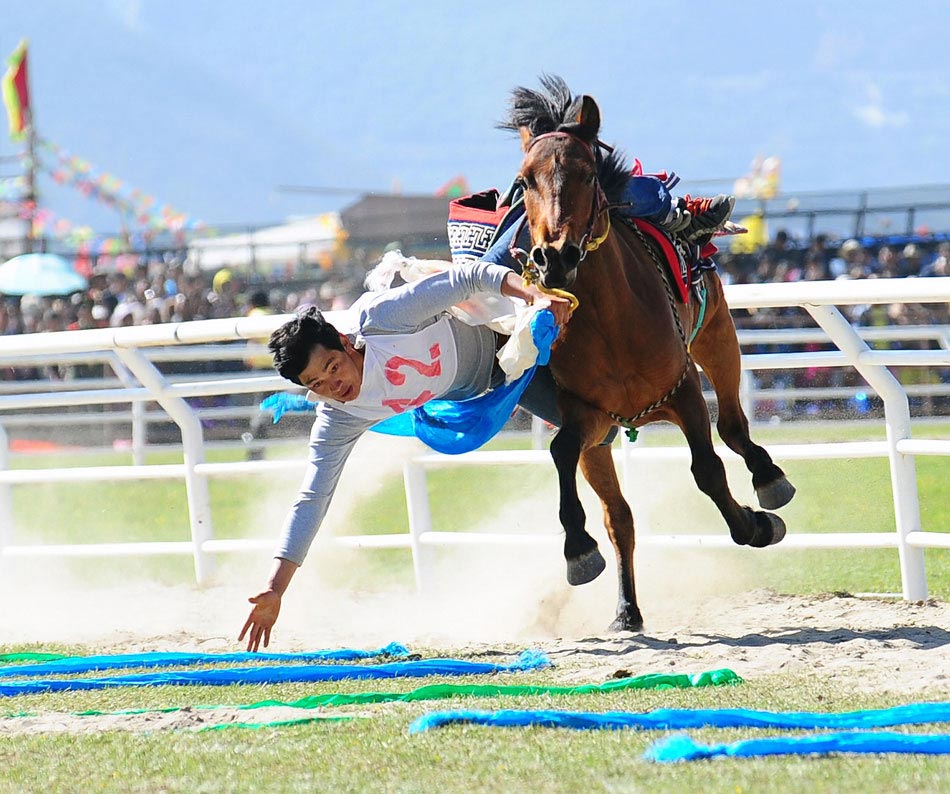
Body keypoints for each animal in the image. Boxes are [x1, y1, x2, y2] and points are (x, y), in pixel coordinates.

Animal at [506, 76, 796, 632]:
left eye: (585, 173)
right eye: (525, 181)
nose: (553, 258)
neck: (610, 322)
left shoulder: (682, 388)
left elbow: (708, 468)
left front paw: (755, 524)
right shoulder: (586, 414)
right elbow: (562, 456)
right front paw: (578, 550)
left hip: (718, 334)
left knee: (733, 425)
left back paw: (769, 479)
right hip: (604, 437)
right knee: (618, 515)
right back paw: (626, 608)